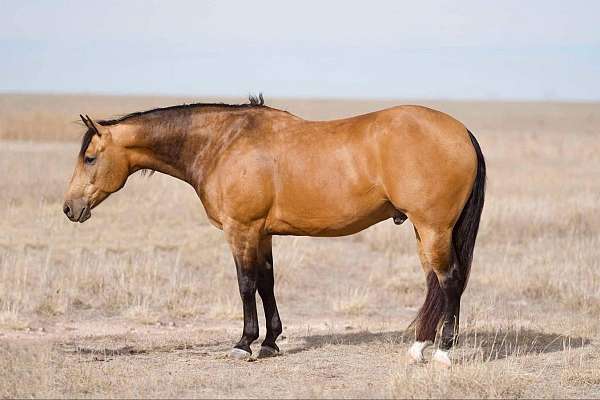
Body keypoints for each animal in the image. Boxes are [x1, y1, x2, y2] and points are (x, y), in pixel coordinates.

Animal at [63, 94, 486, 366]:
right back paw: (418, 348)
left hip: (433, 228)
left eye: (90, 158)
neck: (224, 143)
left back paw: (443, 352)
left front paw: (244, 344)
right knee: (434, 283)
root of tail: (462, 131)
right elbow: (267, 283)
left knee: (449, 281)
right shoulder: (263, 234)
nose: (70, 208)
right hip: (425, 232)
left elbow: (246, 284)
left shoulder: (241, 230)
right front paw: (269, 342)